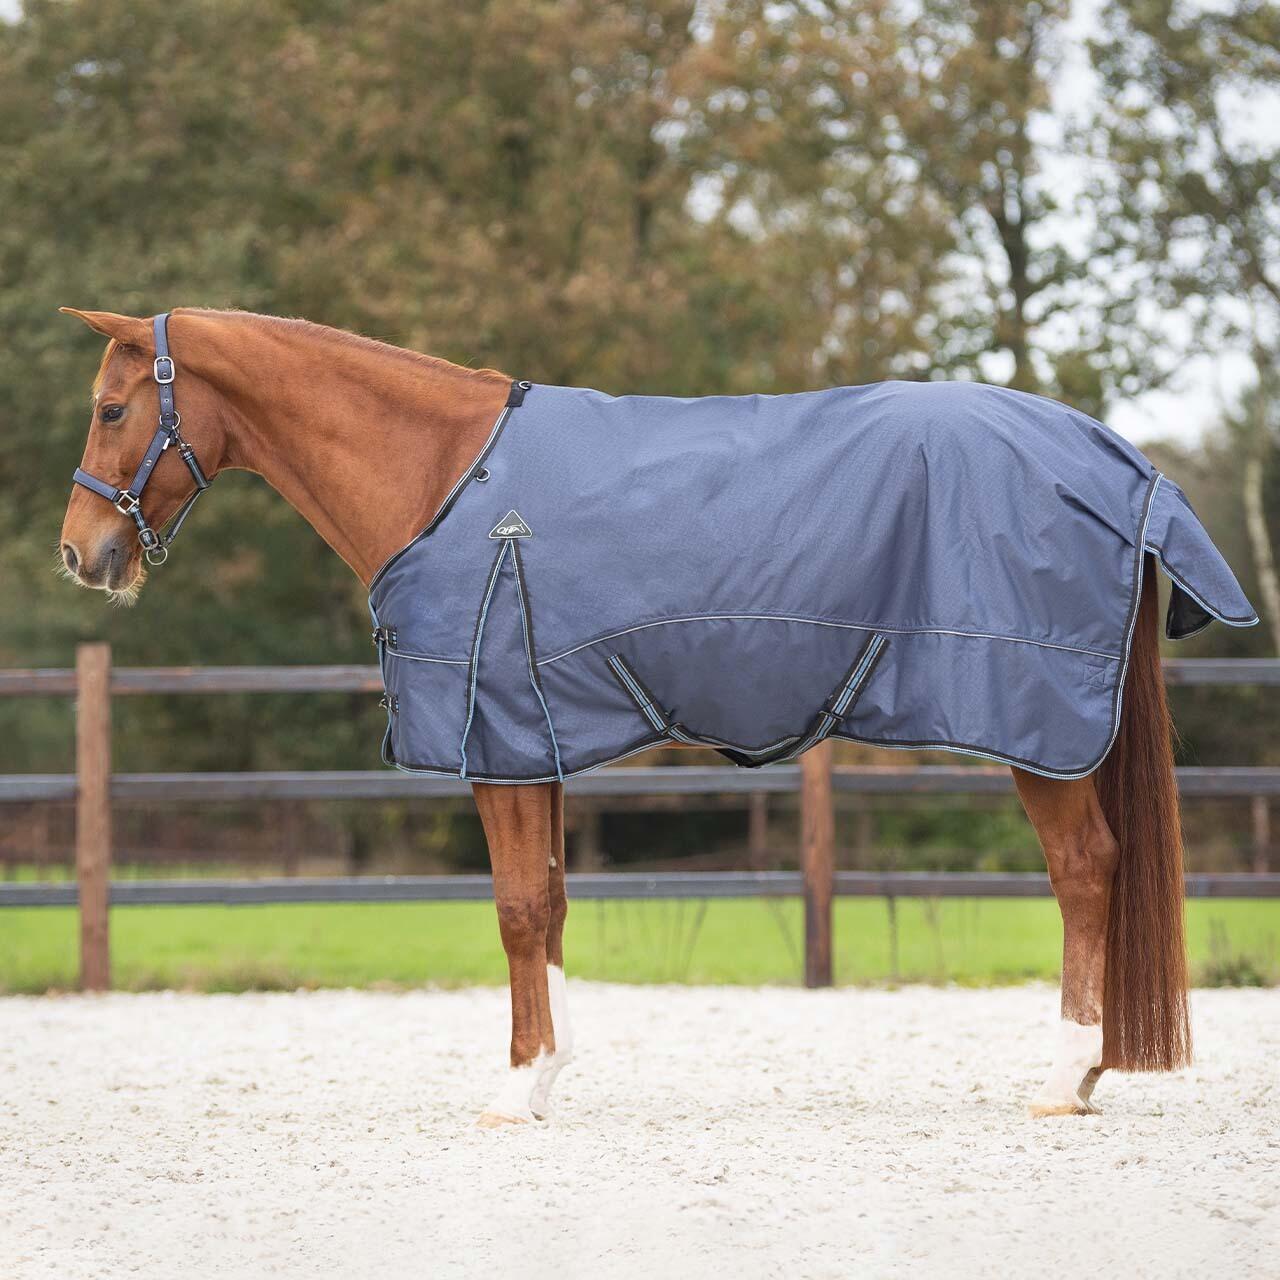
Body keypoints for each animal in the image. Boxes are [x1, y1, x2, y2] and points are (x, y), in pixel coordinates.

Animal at [56, 307, 1251, 1124]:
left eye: (113, 409)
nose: (81, 554)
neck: (444, 477)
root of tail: (1124, 464)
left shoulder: (495, 738)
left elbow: (514, 911)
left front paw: (514, 1089)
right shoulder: (528, 738)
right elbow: (547, 901)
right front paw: (548, 1070)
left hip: (1037, 731)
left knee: (1085, 870)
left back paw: (1066, 1074)